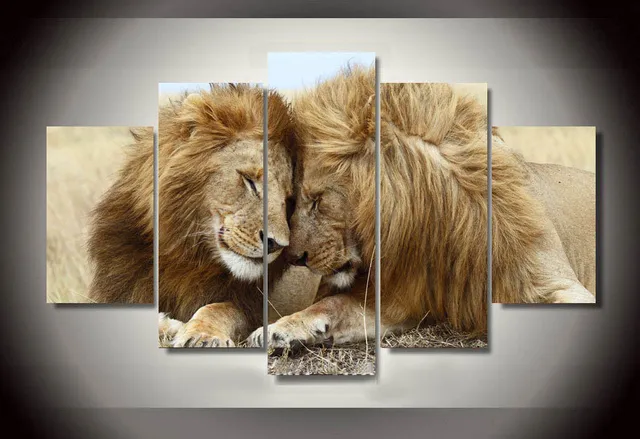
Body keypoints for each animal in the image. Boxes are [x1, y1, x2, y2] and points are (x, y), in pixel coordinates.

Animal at [246, 72, 595, 349]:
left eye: (318, 200)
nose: (294, 258)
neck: (438, 221)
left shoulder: (556, 284)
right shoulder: (398, 299)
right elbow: (333, 304)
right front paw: (279, 329)